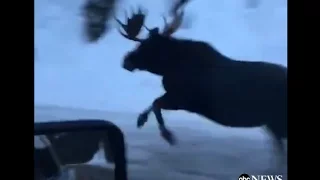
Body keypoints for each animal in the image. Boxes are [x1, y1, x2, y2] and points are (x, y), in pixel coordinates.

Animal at [115, 5, 288, 167]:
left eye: (147, 46)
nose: (126, 61)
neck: (170, 66)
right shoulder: (178, 98)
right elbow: (153, 104)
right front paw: (141, 120)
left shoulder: (184, 100)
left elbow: (156, 103)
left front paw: (168, 135)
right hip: (272, 124)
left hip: (277, 121)